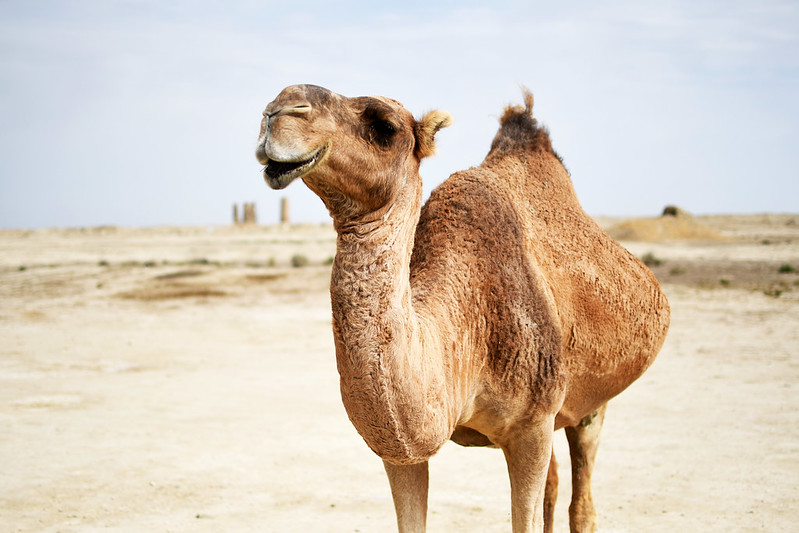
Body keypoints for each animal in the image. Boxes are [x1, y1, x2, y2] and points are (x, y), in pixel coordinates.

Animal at [255, 85, 668, 528]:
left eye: (385, 127)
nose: (278, 110)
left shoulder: (532, 426)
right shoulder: (401, 451)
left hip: (593, 399)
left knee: (583, 495)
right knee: (555, 485)